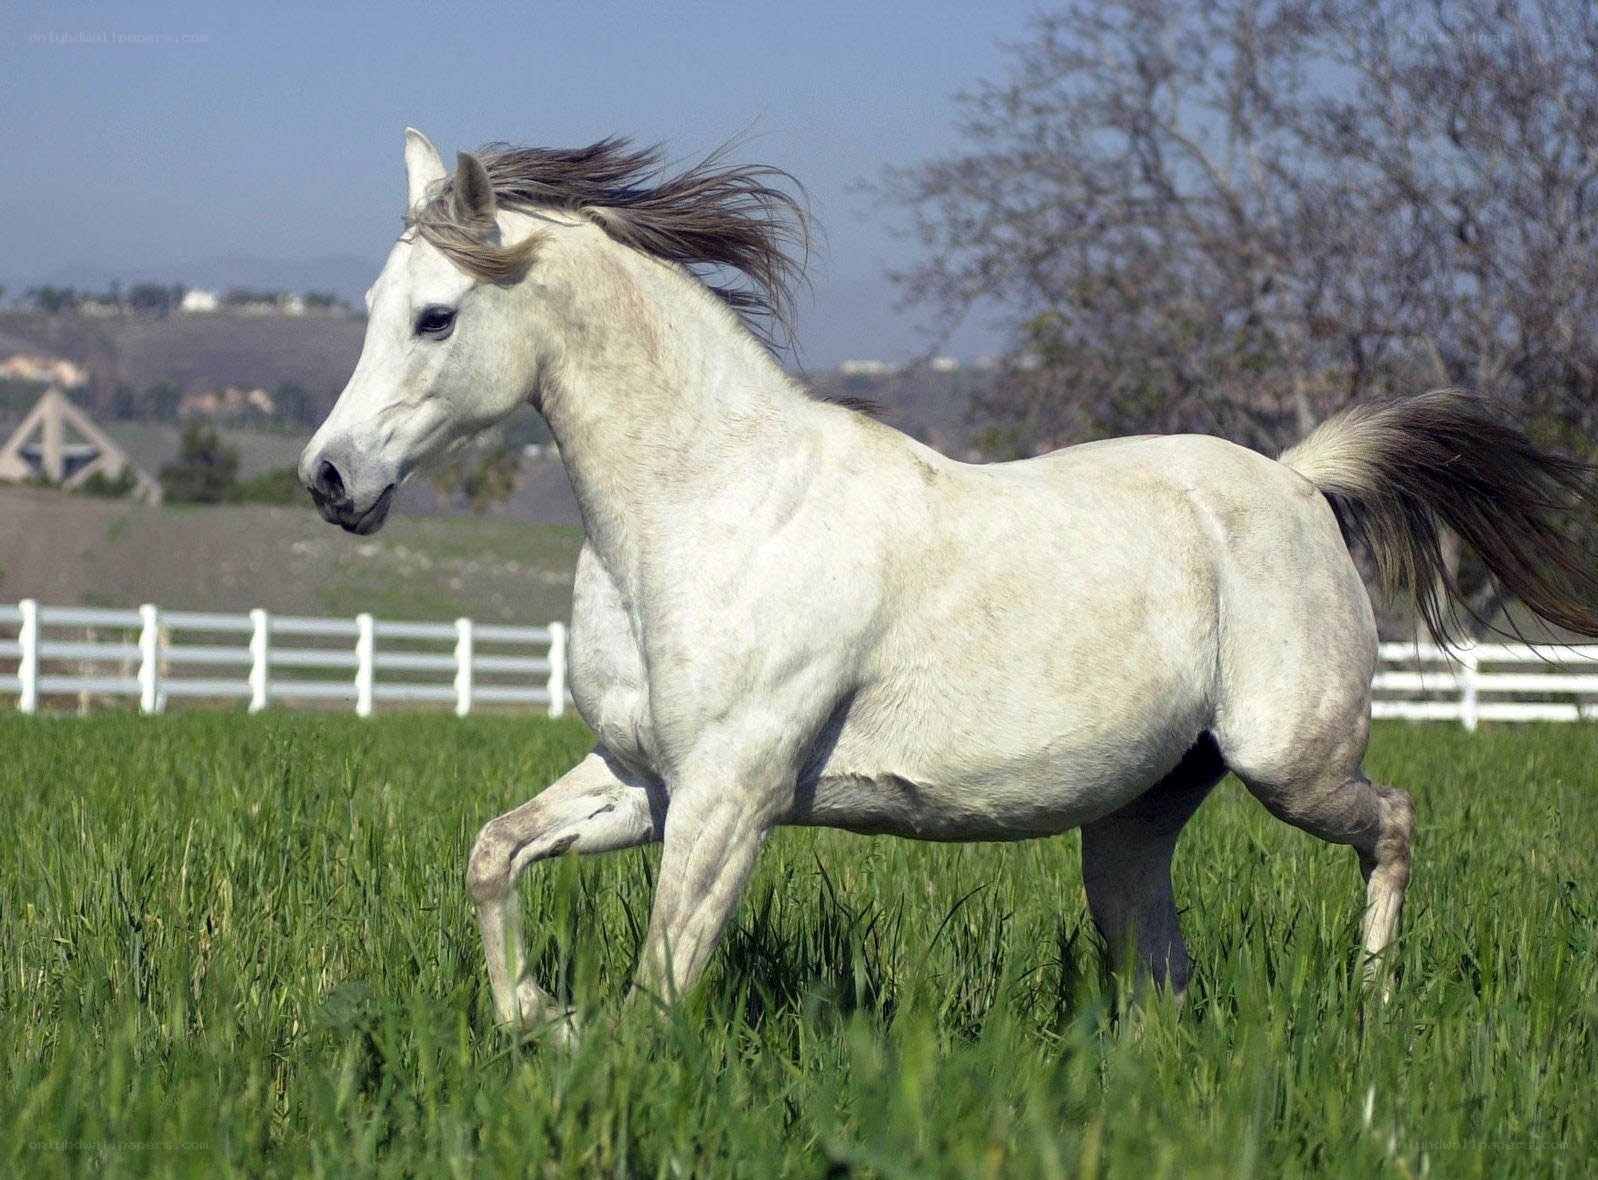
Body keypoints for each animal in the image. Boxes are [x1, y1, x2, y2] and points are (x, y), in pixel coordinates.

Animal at [300, 129, 1598, 1030]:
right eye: (366, 308)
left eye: (434, 317)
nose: (328, 478)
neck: (709, 506)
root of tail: (1293, 481)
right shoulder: (642, 778)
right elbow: (494, 851)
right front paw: (539, 1019)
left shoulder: (729, 793)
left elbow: (662, 982)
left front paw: (590, 1053)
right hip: (1133, 819)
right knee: (1165, 977)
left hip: (1290, 763)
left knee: (1394, 821)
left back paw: (1372, 996)